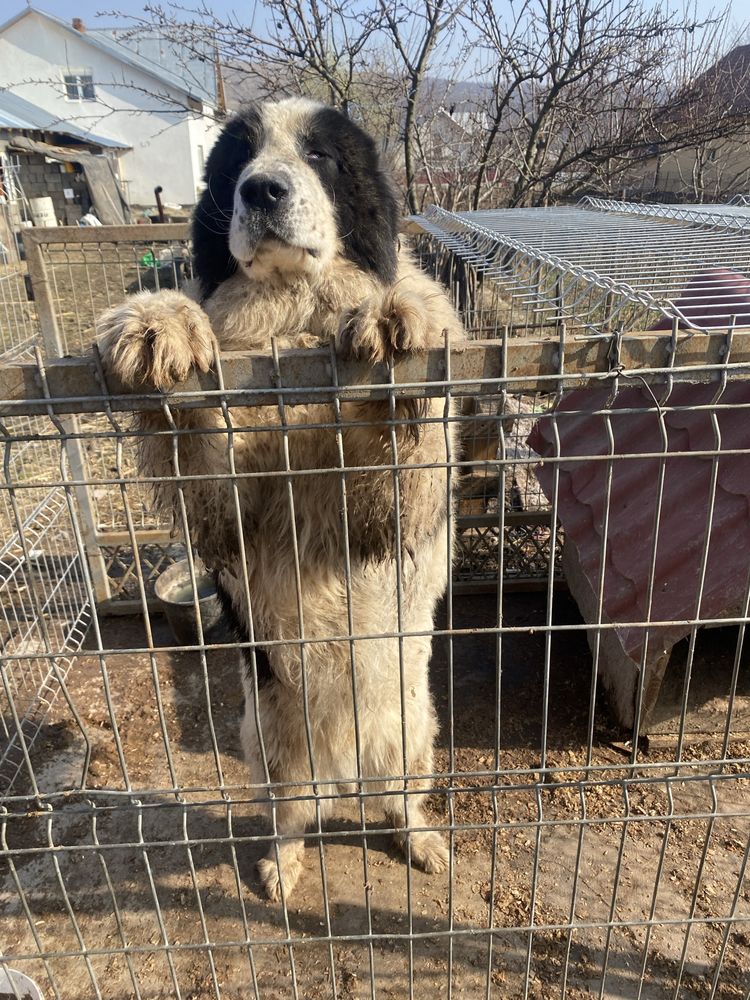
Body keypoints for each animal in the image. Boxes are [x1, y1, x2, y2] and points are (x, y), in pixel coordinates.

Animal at [97, 97, 468, 904]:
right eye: (237, 159)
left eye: (321, 156)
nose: (262, 189)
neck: (295, 322)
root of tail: (344, 766)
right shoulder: (229, 511)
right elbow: (202, 448)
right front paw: (162, 321)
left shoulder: (381, 512)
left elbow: (404, 439)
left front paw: (395, 316)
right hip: (268, 741)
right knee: (290, 814)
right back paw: (283, 863)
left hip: (413, 733)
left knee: (399, 800)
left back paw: (420, 839)